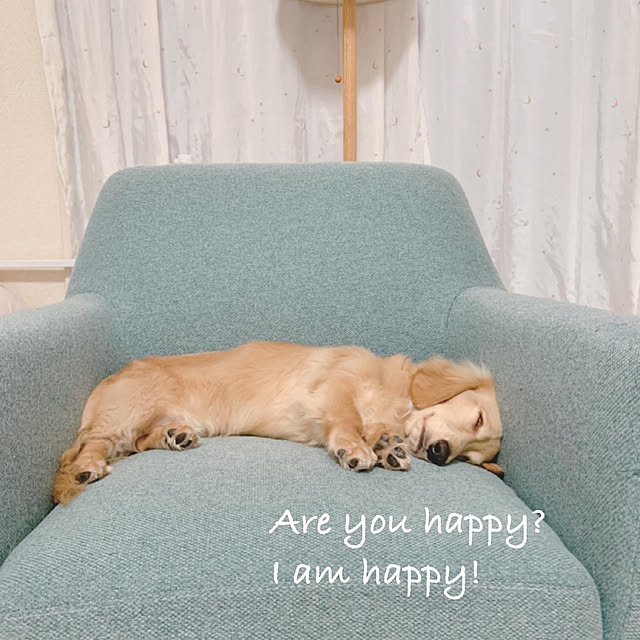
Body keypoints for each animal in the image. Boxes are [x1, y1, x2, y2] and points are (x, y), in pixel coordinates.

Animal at [52, 341, 503, 504]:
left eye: (470, 460)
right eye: (477, 417)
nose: (441, 454)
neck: (393, 399)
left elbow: (375, 429)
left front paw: (387, 446)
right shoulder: (333, 388)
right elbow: (348, 419)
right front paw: (356, 448)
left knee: (143, 441)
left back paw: (174, 435)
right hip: (127, 413)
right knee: (90, 447)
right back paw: (87, 468)